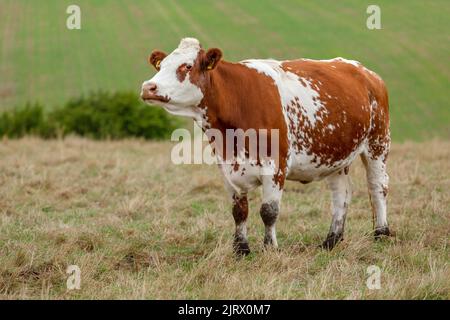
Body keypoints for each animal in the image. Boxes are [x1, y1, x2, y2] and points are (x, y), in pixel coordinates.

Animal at [142, 37, 394, 256]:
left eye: (187, 66)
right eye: (161, 65)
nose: (148, 87)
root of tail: (366, 73)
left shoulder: (275, 167)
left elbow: (269, 211)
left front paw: (270, 248)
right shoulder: (227, 168)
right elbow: (239, 212)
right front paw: (241, 250)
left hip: (378, 144)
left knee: (377, 187)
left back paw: (381, 233)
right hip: (335, 155)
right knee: (341, 194)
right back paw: (331, 240)